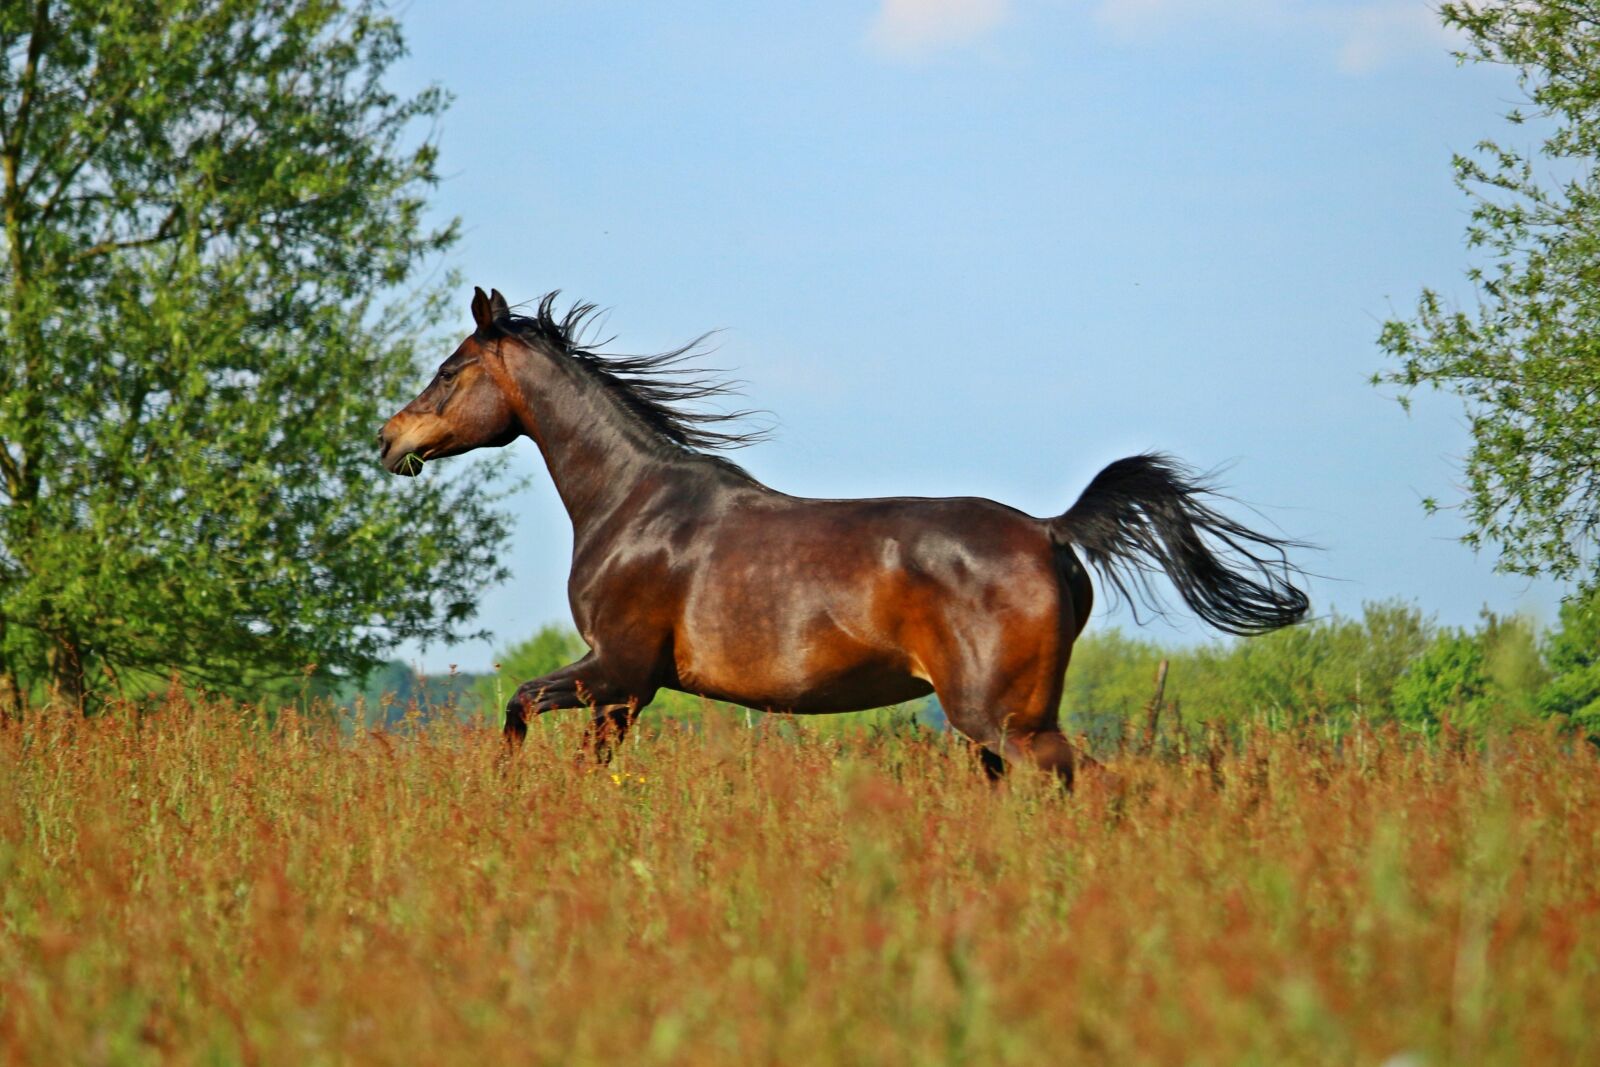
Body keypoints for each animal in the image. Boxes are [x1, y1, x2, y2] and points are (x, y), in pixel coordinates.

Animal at [379, 288, 1308, 783]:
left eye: (452, 369)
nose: (390, 439)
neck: (634, 503)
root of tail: (1051, 531)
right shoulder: (623, 689)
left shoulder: (618, 669)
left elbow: (518, 707)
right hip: (994, 727)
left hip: (1003, 719)